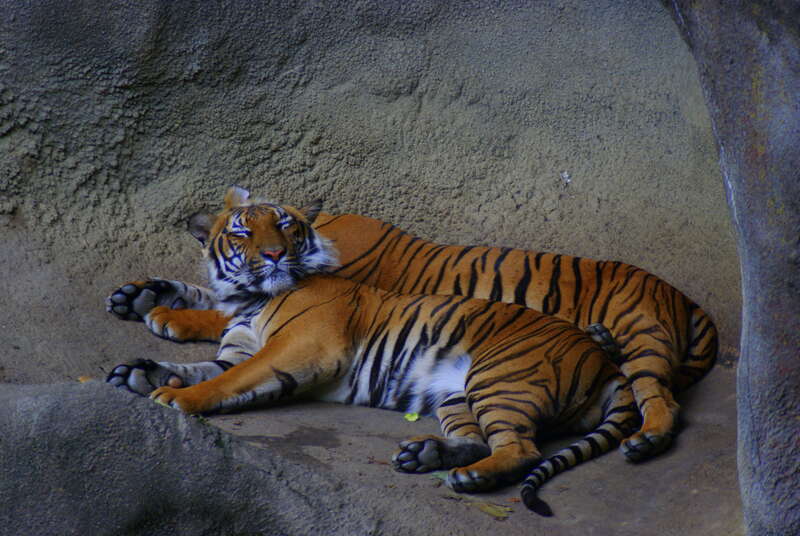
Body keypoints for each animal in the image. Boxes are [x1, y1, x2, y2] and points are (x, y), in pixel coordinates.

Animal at [106, 187, 640, 515]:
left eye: (285, 226)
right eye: (242, 232)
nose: (275, 255)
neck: (247, 298)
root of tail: (602, 361)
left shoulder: (301, 346)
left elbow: (225, 381)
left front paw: (176, 398)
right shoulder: (239, 350)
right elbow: (204, 368)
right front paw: (140, 372)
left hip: (500, 377)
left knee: (522, 450)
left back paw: (467, 477)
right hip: (459, 395)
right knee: (483, 439)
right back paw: (427, 455)